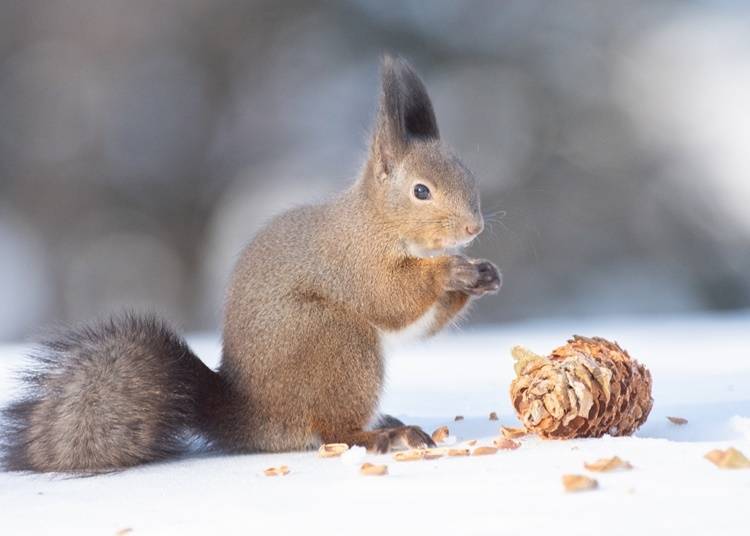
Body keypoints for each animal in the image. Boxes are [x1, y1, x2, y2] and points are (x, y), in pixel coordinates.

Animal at [2, 54, 506, 474]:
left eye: (468, 175)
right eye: (421, 191)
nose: (473, 228)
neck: (379, 221)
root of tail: (251, 418)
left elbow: (424, 323)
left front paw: (483, 275)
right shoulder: (354, 261)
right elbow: (391, 297)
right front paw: (451, 272)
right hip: (335, 342)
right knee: (333, 429)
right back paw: (384, 435)